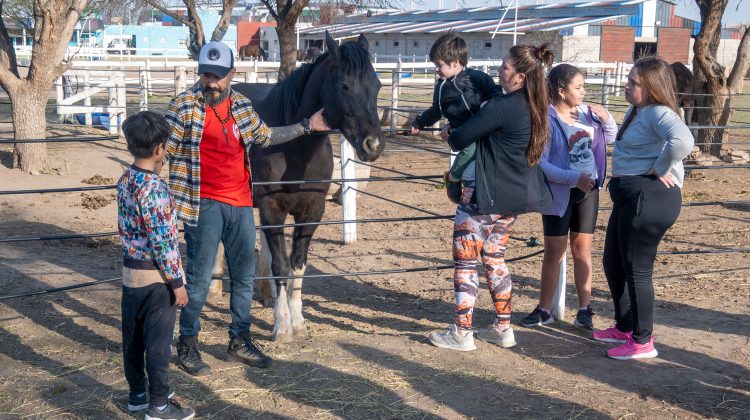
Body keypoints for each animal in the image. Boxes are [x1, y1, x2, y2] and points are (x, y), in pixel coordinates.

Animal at [235, 32, 384, 342]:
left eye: (376, 86)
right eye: (344, 86)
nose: (373, 145)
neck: (296, 150)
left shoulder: (311, 213)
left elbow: (297, 263)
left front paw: (298, 321)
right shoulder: (273, 209)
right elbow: (281, 264)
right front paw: (282, 327)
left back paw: (266, 295)